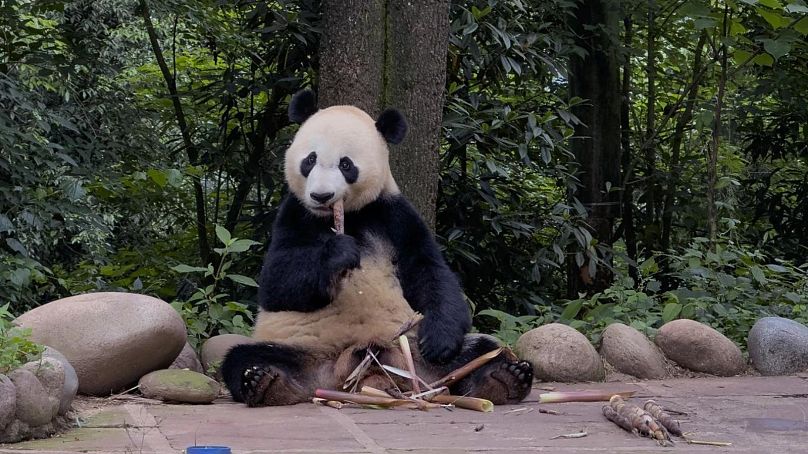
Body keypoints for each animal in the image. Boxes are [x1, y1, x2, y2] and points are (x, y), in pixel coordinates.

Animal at [223, 90, 536, 406]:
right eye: (310, 160)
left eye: (346, 165)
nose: (321, 195)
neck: (348, 215)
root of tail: (361, 369)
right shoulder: (295, 213)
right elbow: (275, 283)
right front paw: (339, 253)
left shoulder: (394, 214)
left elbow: (430, 271)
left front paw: (439, 340)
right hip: (303, 350)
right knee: (242, 357)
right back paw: (265, 381)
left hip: (411, 350)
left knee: (483, 349)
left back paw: (505, 378)